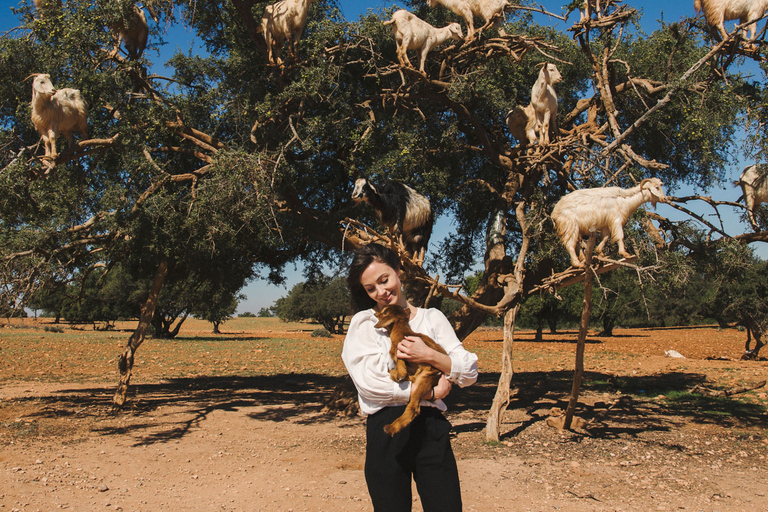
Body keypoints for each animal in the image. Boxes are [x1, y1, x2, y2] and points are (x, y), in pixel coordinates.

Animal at [372, 304, 444, 436]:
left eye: (384, 312)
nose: (375, 313)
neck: (402, 331)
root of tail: (436, 376)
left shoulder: (403, 347)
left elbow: (398, 355)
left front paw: (400, 373)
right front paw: (398, 373)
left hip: (424, 381)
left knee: (413, 408)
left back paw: (391, 428)